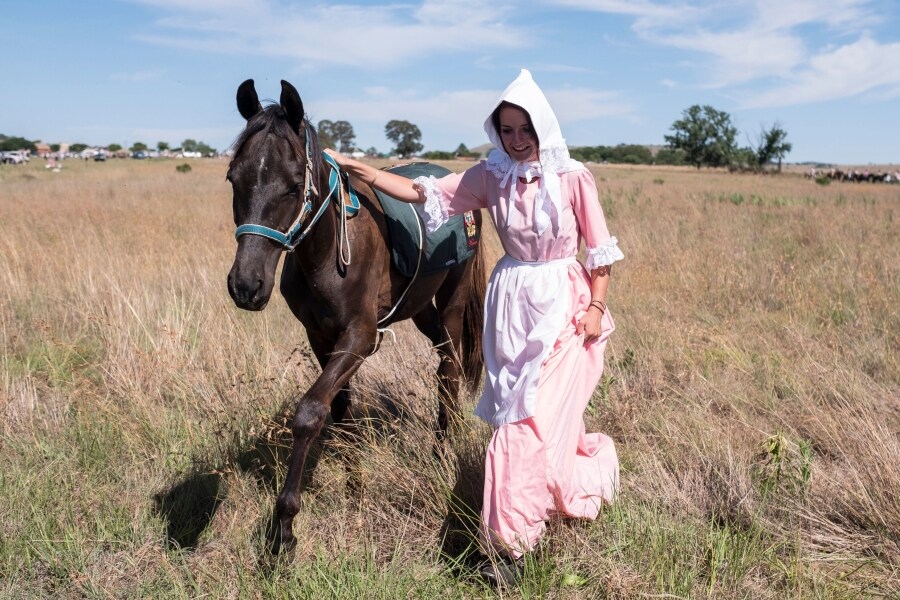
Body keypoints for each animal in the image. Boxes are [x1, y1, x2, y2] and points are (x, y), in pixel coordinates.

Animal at [229, 79, 488, 552]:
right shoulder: (321, 337)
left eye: (294, 185)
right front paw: (355, 486)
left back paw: (443, 451)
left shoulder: (360, 337)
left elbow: (309, 412)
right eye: (233, 178)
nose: (246, 285)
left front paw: (284, 526)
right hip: (419, 306)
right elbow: (338, 409)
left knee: (449, 368)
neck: (324, 254)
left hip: (454, 298)